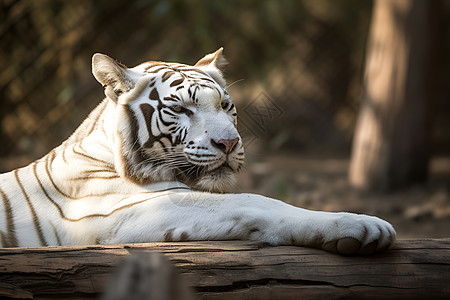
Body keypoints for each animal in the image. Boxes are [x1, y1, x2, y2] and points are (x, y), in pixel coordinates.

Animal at [0, 48, 394, 254]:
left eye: (225, 105)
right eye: (180, 109)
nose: (229, 143)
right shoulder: (128, 213)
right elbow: (255, 201)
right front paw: (363, 225)